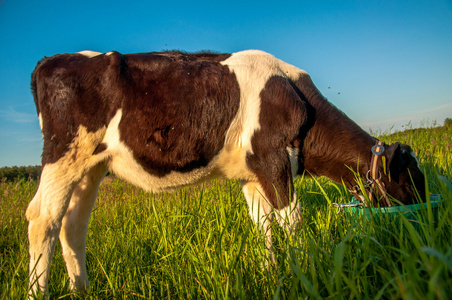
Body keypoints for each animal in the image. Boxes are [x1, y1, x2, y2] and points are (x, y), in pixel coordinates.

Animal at [26, 50, 426, 296]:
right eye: (410, 177)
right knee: (42, 220)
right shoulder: (273, 159)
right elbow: (293, 221)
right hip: (64, 153)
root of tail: (50, 61)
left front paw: (270, 276)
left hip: (90, 166)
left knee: (72, 224)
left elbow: (264, 226)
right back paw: (38, 292)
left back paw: (82, 290)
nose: (423, 217)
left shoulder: (253, 175)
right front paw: (307, 274)